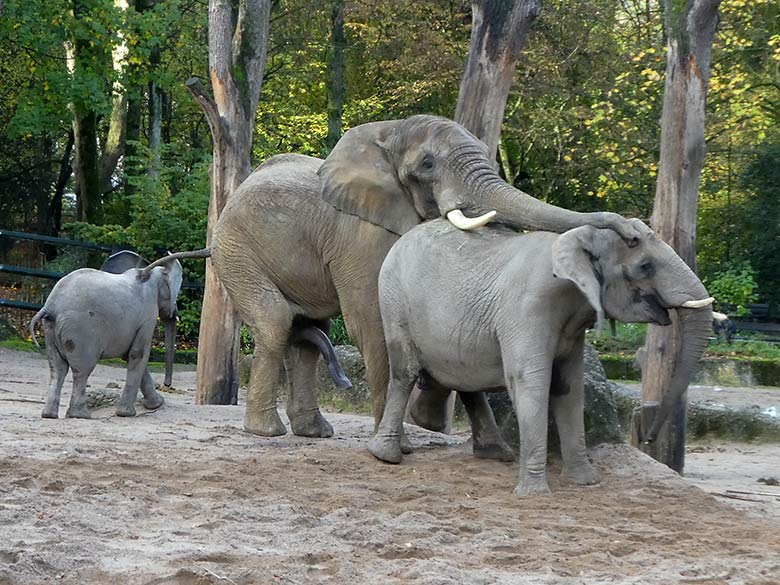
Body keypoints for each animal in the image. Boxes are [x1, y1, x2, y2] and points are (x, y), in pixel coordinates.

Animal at [30, 249, 198, 418]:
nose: (167, 384)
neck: (148, 274)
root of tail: (50, 307)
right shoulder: (148, 315)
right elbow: (138, 354)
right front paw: (128, 414)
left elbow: (130, 355)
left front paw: (156, 404)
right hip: (80, 330)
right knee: (82, 370)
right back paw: (81, 415)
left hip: (50, 329)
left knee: (57, 369)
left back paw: (49, 415)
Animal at [370, 217, 712, 496]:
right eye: (645, 266)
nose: (649, 439)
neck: (575, 240)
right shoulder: (528, 308)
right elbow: (531, 382)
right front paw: (534, 493)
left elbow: (569, 388)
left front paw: (586, 481)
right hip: (393, 300)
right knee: (405, 370)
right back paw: (387, 455)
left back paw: (496, 454)